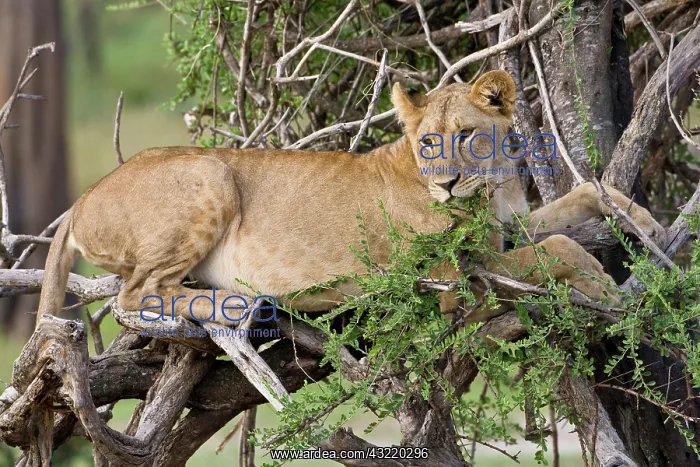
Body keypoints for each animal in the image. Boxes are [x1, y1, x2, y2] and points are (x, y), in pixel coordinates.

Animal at [35, 70, 666, 327]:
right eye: (428, 141)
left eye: (465, 135)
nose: (446, 184)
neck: (492, 183)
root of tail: (81, 200)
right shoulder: (460, 271)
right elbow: (559, 248)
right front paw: (609, 289)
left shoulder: (503, 229)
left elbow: (583, 194)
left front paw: (647, 223)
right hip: (211, 174)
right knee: (135, 295)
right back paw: (236, 304)